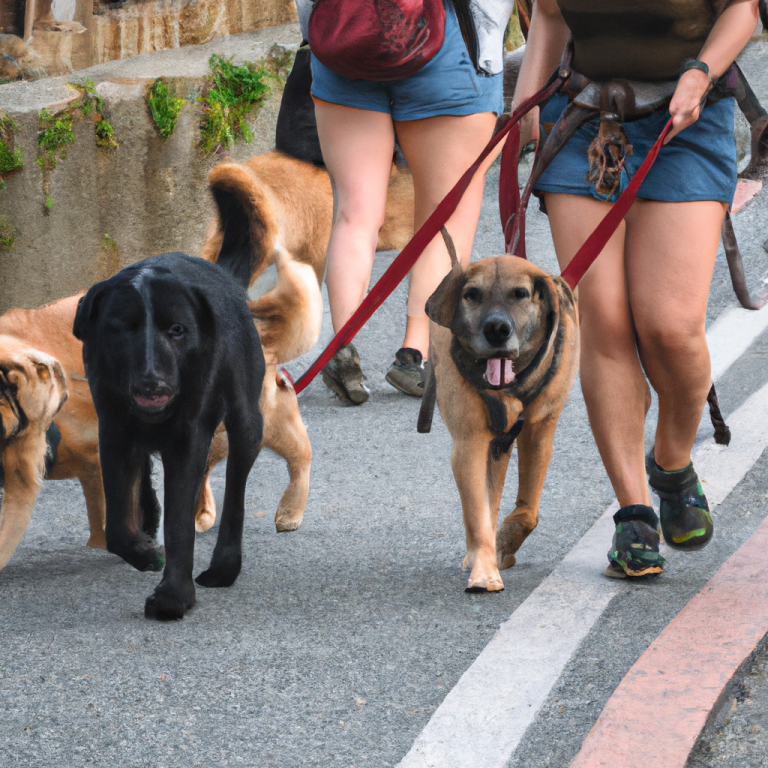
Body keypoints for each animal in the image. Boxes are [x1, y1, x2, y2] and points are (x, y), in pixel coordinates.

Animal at [73, 255, 264, 620]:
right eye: (122, 328)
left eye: (177, 330)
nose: (153, 385)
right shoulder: (114, 432)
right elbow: (117, 526)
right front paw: (145, 552)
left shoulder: (187, 440)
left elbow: (178, 524)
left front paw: (173, 595)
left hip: (247, 421)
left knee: (235, 494)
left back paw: (224, 567)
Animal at [420, 236, 576, 592]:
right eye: (471, 294)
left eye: (520, 293)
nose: (496, 329)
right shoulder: (470, 444)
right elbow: (478, 516)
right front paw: (484, 570)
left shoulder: (538, 430)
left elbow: (526, 511)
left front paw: (503, 543)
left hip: (503, 444)